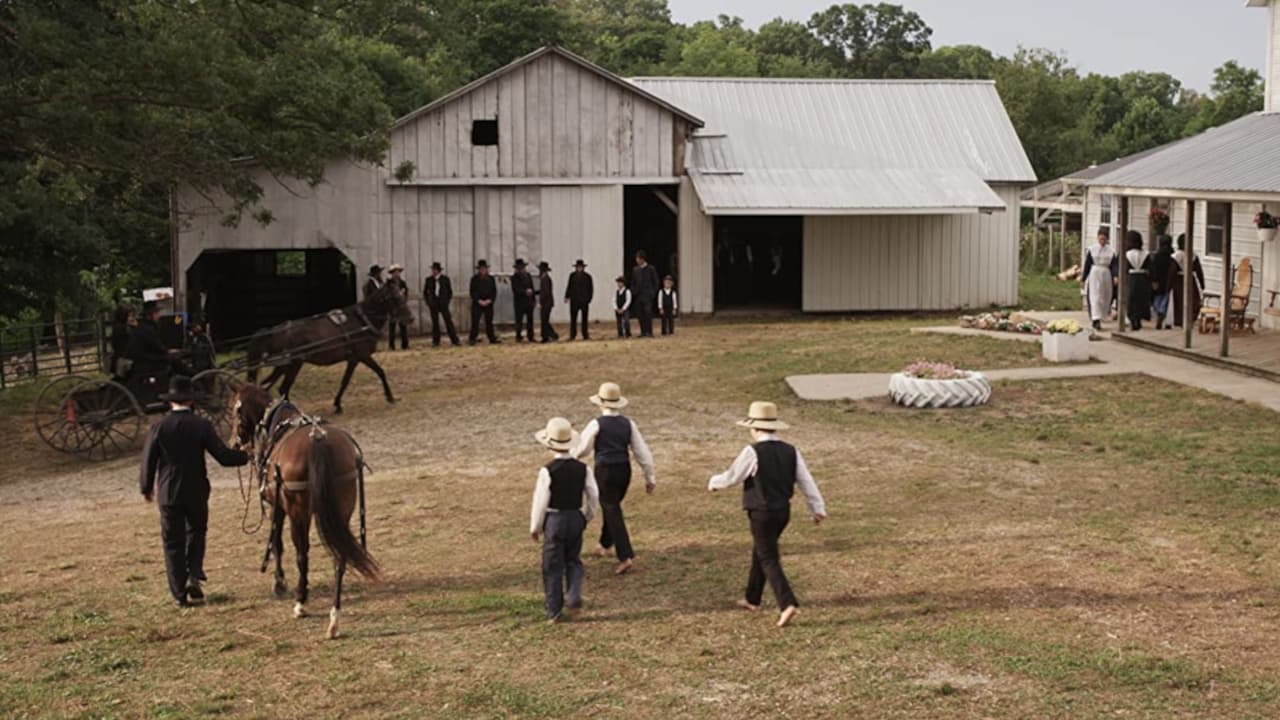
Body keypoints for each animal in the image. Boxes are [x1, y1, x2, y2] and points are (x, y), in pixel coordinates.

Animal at [232, 384, 376, 635]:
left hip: (298, 512)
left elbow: (277, 544)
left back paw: (301, 602)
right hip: (342, 508)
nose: (235, 443)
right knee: (339, 556)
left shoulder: (278, 507)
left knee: (302, 553)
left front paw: (279, 583)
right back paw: (334, 617)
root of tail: (317, 439)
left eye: (235, 411)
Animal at [247, 281, 412, 415]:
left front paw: (337, 404)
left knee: (267, 386)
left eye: (402, 295)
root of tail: (277, 331)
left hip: (283, 366)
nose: (411, 318)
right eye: (396, 298)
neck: (362, 321)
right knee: (282, 388)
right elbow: (380, 372)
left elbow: (345, 381)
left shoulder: (353, 359)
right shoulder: (363, 356)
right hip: (294, 364)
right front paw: (390, 397)